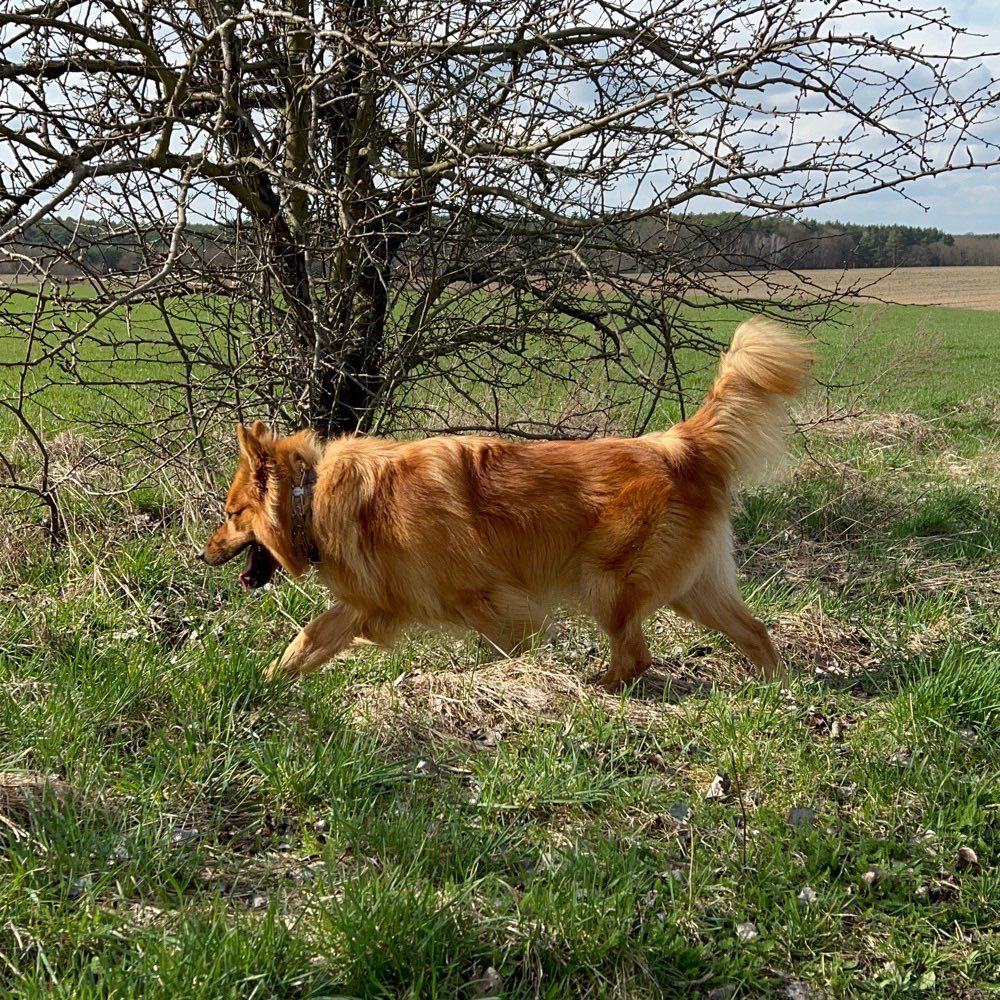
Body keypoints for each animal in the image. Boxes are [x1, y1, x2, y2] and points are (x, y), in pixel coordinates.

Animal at [201, 318, 812, 688]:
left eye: (231, 515)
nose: (202, 556)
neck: (311, 495)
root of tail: (678, 444)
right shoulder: (367, 604)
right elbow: (304, 642)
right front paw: (267, 684)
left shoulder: (490, 601)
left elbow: (516, 646)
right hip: (694, 590)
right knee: (756, 633)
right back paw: (773, 689)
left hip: (608, 585)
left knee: (635, 656)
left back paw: (600, 689)